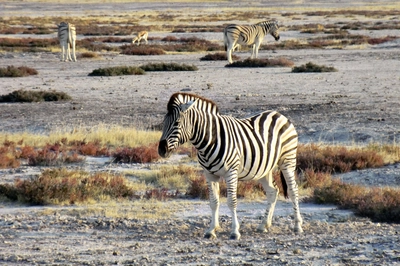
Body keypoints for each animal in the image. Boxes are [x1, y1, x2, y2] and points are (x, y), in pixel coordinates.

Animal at [159, 92, 304, 240]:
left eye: (177, 123)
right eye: (164, 123)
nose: (161, 150)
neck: (210, 139)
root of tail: (279, 114)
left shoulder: (231, 172)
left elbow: (231, 201)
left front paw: (235, 231)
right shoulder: (209, 174)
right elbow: (214, 202)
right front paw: (211, 230)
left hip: (287, 160)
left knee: (293, 190)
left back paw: (297, 226)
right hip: (264, 168)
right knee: (272, 191)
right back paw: (263, 225)